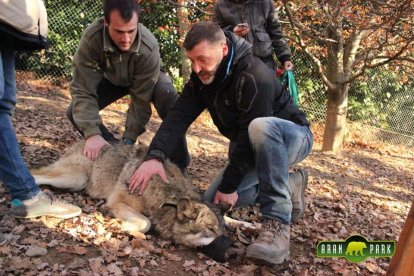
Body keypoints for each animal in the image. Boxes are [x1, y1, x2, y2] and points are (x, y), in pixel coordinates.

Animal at [30, 141, 228, 247]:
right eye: (210, 229)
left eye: (221, 231)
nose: (231, 252)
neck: (164, 197)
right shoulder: (117, 202)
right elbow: (146, 222)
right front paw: (122, 226)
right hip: (75, 178)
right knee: (36, 176)